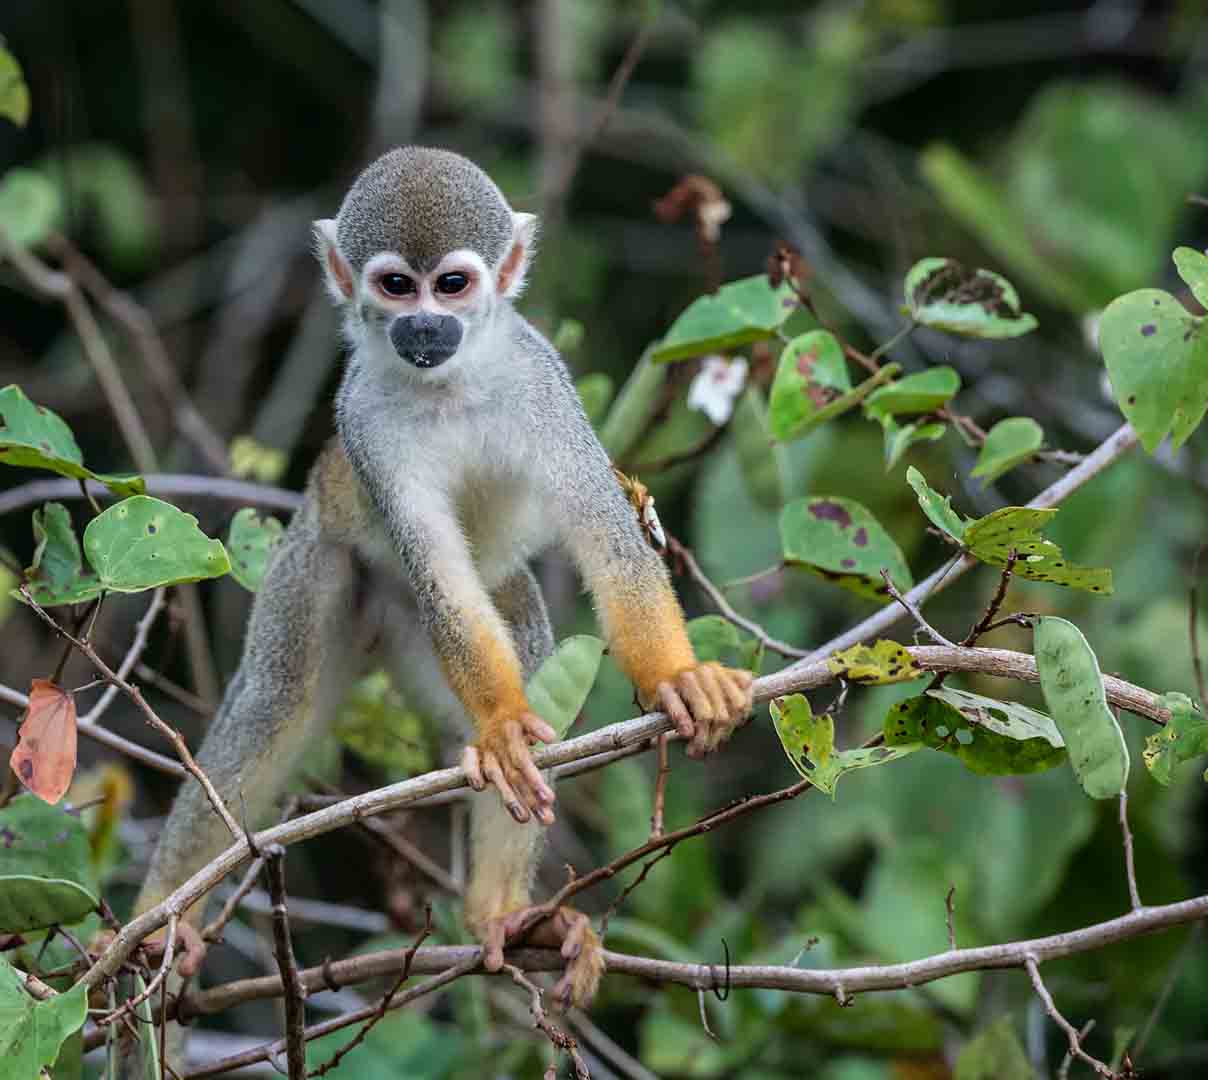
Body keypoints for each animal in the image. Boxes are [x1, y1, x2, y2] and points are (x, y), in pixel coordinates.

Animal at [132, 146, 753, 1014]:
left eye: (451, 284)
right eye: (398, 286)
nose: (424, 325)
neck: (449, 385)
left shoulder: (544, 383)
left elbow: (605, 534)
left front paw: (678, 679)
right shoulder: (363, 423)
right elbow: (440, 578)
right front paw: (501, 725)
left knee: (526, 639)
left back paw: (501, 915)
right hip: (319, 561)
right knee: (276, 701)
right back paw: (162, 913)